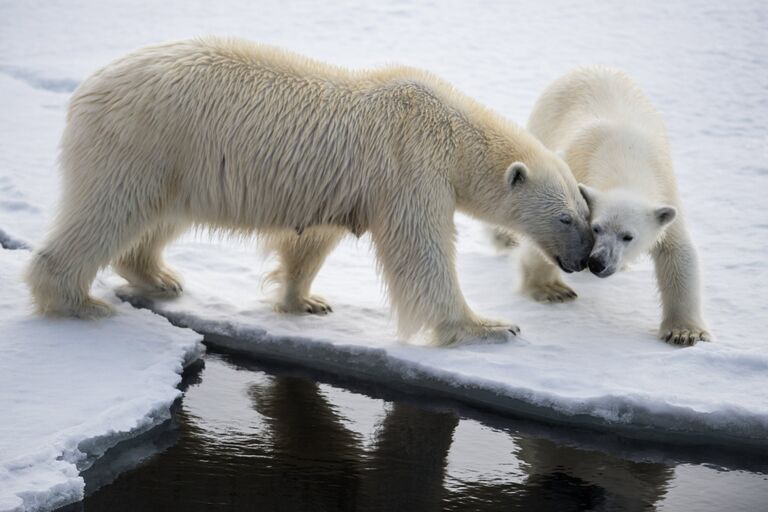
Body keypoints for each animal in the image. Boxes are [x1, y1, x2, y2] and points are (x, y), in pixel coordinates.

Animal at [24, 38, 592, 346]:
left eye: (586, 211)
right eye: (566, 218)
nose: (584, 259)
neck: (451, 130)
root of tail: (86, 88)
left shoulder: (346, 186)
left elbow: (310, 240)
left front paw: (305, 301)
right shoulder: (410, 166)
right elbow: (420, 251)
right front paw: (490, 327)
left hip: (175, 161)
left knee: (155, 218)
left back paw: (160, 277)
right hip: (141, 142)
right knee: (109, 211)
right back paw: (79, 302)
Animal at [520, 65, 712, 344]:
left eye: (628, 236)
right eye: (596, 228)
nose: (597, 262)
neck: (624, 157)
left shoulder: (665, 192)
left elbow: (677, 253)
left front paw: (684, 332)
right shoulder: (574, 168)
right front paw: (551, 289)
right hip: (545, 121)